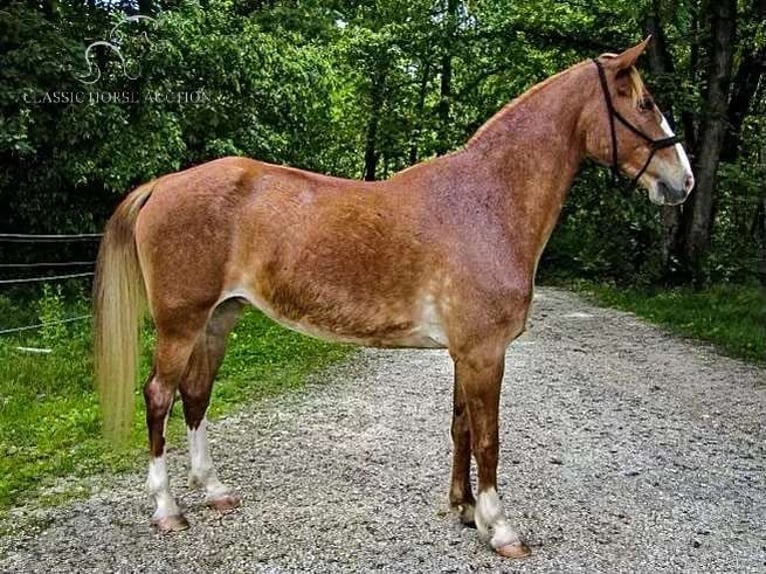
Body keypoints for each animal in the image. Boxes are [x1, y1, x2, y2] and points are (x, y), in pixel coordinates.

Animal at [94, 40, 696, 564]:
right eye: (644, 103)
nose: (682, 181)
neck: (487, 201)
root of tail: (163, 184)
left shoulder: (466, 352)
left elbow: (460, 427)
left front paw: (464, 510)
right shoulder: (485, 352)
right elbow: (489, 438)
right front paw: (500, 528)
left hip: (219, 318)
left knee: (195, 394)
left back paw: (215, 491)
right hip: (181, 323)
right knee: (158, 396)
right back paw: (167, 510)